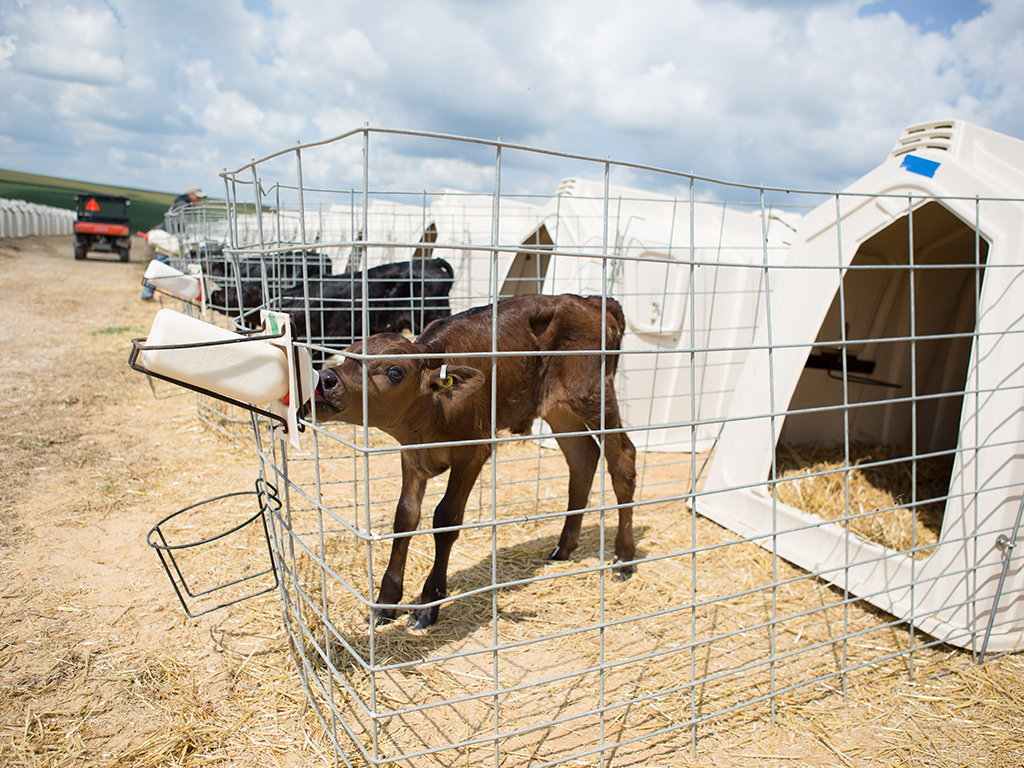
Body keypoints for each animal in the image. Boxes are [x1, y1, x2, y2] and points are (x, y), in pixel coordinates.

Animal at [308, 293, 637, 629]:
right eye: (347, 357)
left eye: (395, 372)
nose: (326, 378)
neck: (434, 411)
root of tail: (589, 300)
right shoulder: (411, 455)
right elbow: (405, 517)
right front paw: (385, 604)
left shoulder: (473, 451)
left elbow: (446, 519)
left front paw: (428, 604)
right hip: (558, 408)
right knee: (583, 459)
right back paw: (564, 547)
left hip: (593, 394)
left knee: (622, 460)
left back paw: (623, 558)